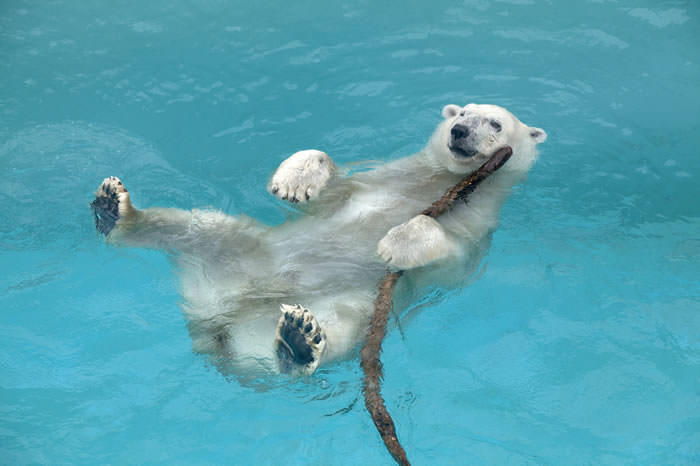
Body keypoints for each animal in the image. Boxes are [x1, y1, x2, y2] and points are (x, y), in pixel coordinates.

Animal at [90, 104, 544, 376]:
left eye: (495, 123)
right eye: (462, 111)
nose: (459, 130)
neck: (439, 180)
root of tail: (214, 325)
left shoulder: (477, 226)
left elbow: (448, 257)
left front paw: (398, 241)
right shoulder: (378, 175)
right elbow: (329, 186)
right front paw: (296, 179)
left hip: (342, 305)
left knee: (338, 327)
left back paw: (298, 343)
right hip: (241, 254)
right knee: (201, 228)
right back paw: (115, 209)